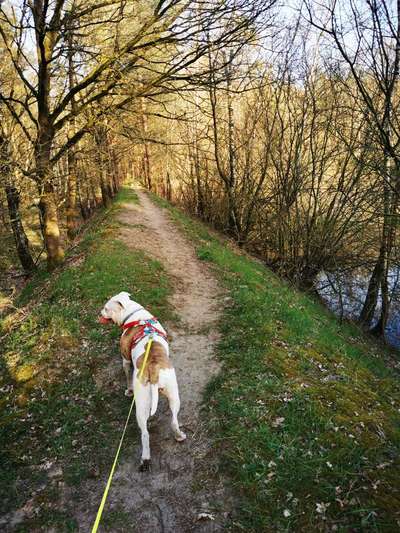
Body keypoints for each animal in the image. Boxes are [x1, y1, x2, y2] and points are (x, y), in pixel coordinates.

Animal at [100, 290, 188, 470]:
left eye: (106, 308)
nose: (99, 312)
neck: (133, 315)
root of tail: (153, 369)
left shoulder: (125, 360)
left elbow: (127, 376)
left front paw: (128, 391)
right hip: (173, 393)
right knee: (174, 420)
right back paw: (179, 436)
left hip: (140, 406)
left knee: (145, 434)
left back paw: (145, 458)